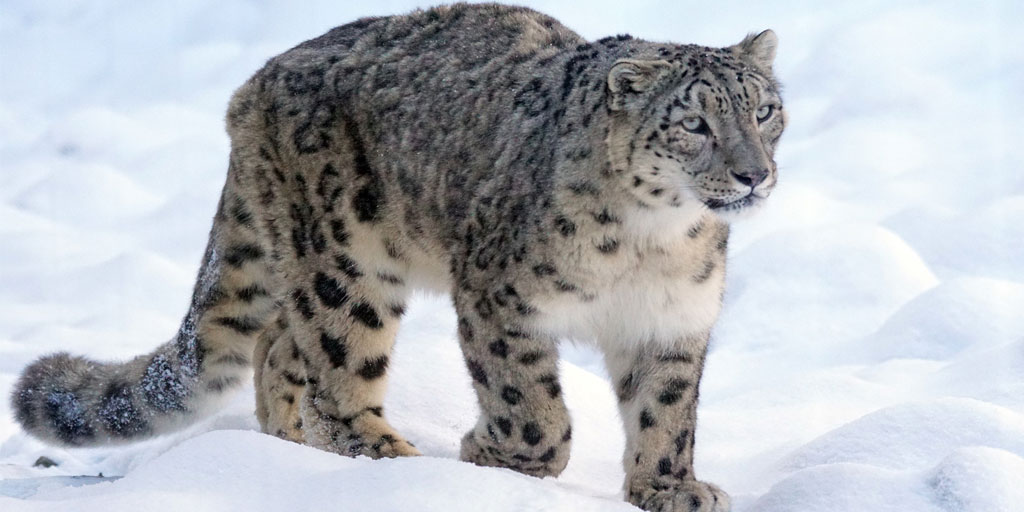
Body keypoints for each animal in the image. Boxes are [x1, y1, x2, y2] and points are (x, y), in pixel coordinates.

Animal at [9, 4, 782, 512]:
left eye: (765, 110)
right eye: (694, 123)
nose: (753, 174)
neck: (654, 241)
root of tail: (255, 84)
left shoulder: (673, 321)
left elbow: (666, 412)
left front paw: (671, 488)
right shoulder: (500, 299)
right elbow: (532, 408)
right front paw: (491, 458)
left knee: (278, 346)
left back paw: (290, 450)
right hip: (345, 264)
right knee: (335, 370)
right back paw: (389, 467)